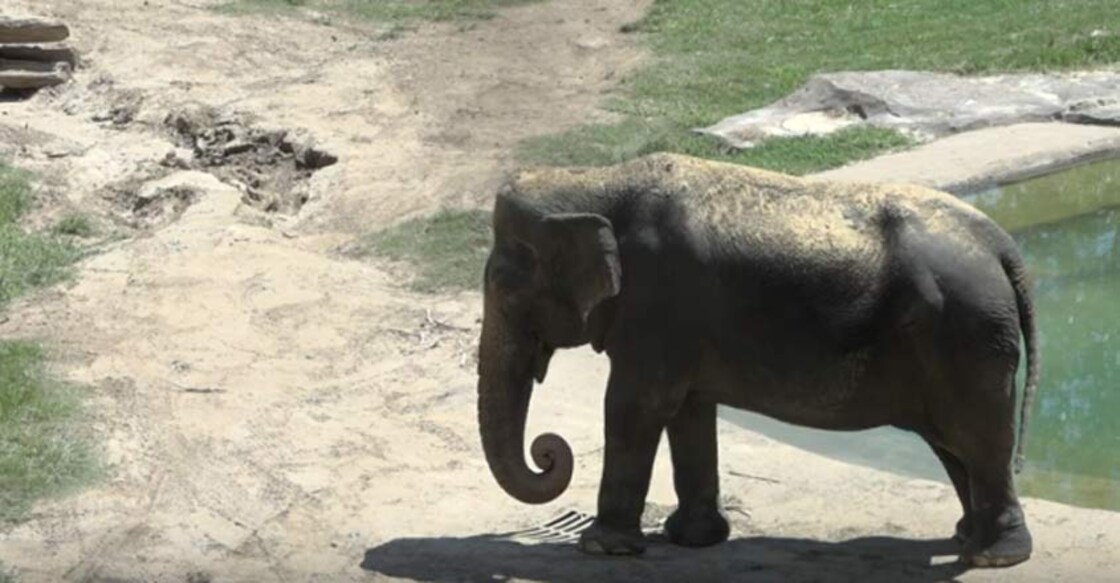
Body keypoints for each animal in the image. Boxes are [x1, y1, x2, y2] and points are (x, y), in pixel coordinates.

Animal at [475, 153, 1037, 568]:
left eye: (505, 287)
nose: (549, 450)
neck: (595, 180)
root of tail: (999, 243)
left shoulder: (656, 306)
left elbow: (635, 406)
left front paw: (602, 547)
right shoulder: (678, 330)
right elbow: (688, 411)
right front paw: (694, 538)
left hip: (968, 332)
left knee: (978, 436)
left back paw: (994, 557)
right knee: (953, 441)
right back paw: (966, 537)